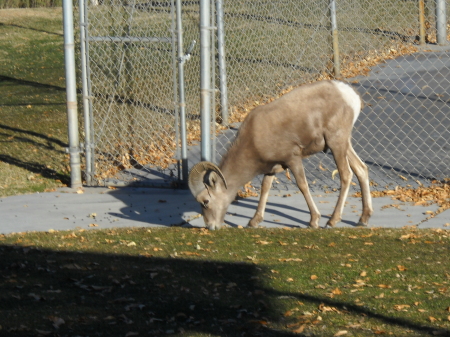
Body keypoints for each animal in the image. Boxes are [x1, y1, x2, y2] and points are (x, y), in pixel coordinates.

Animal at [189, 80, 372, 230]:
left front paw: (313, 221)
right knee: (361, 169)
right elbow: (265, 188)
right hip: (344, 144)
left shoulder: (293, 159)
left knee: (346, 175)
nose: (211, 226)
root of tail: (350, 95)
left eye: (206, 201)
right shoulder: (272, 168)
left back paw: (332, 221)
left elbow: (302, 186)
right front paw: (253, 221)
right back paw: (363, 219)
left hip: (336, 143)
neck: (254, 136)